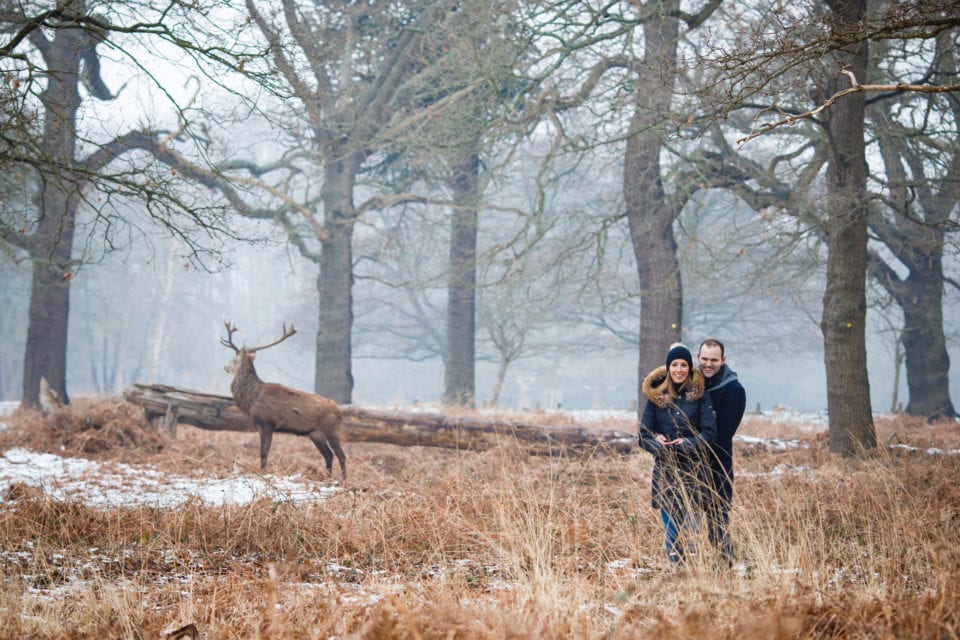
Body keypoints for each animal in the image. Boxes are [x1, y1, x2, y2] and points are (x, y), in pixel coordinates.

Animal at [220, 320, 346, 481]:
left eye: (233, 359)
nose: (224, 367)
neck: (252, 398)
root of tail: (338, 411)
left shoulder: (266, 423)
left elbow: (263, 452)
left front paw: (262, 474)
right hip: (315, 433)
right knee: (328, 455)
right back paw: (328, 478)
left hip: (331, 428)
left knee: (341, 455)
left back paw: (343, 480)